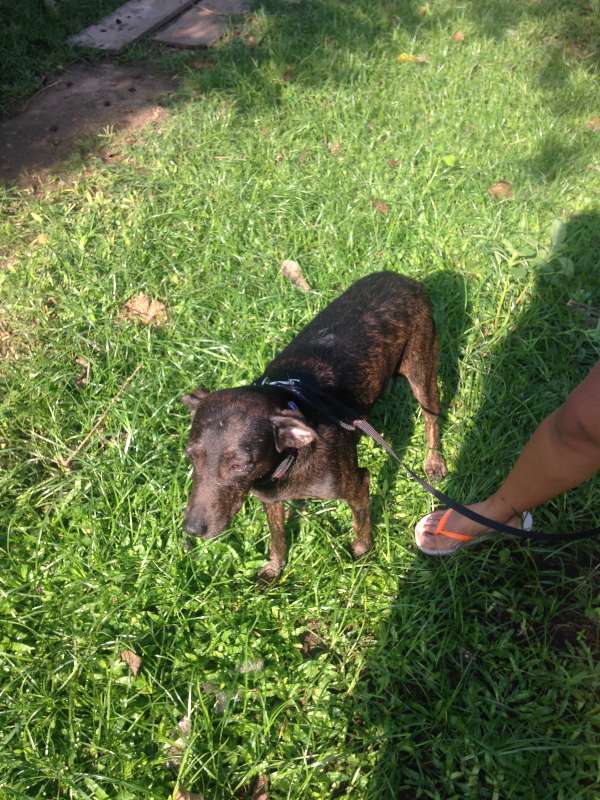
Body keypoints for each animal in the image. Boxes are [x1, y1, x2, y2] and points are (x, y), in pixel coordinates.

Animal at [182, 271, 446, 580]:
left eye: (239, 465)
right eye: (190, 457)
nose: (192, 530)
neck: (289, 462)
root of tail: (402, 278)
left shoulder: (358, 484)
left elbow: (361, 525)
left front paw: (361, 553)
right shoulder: (270, 499)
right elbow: (277, 538)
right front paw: (275, 568)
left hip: (421, 370)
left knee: (432, 418)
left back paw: (434, 461)